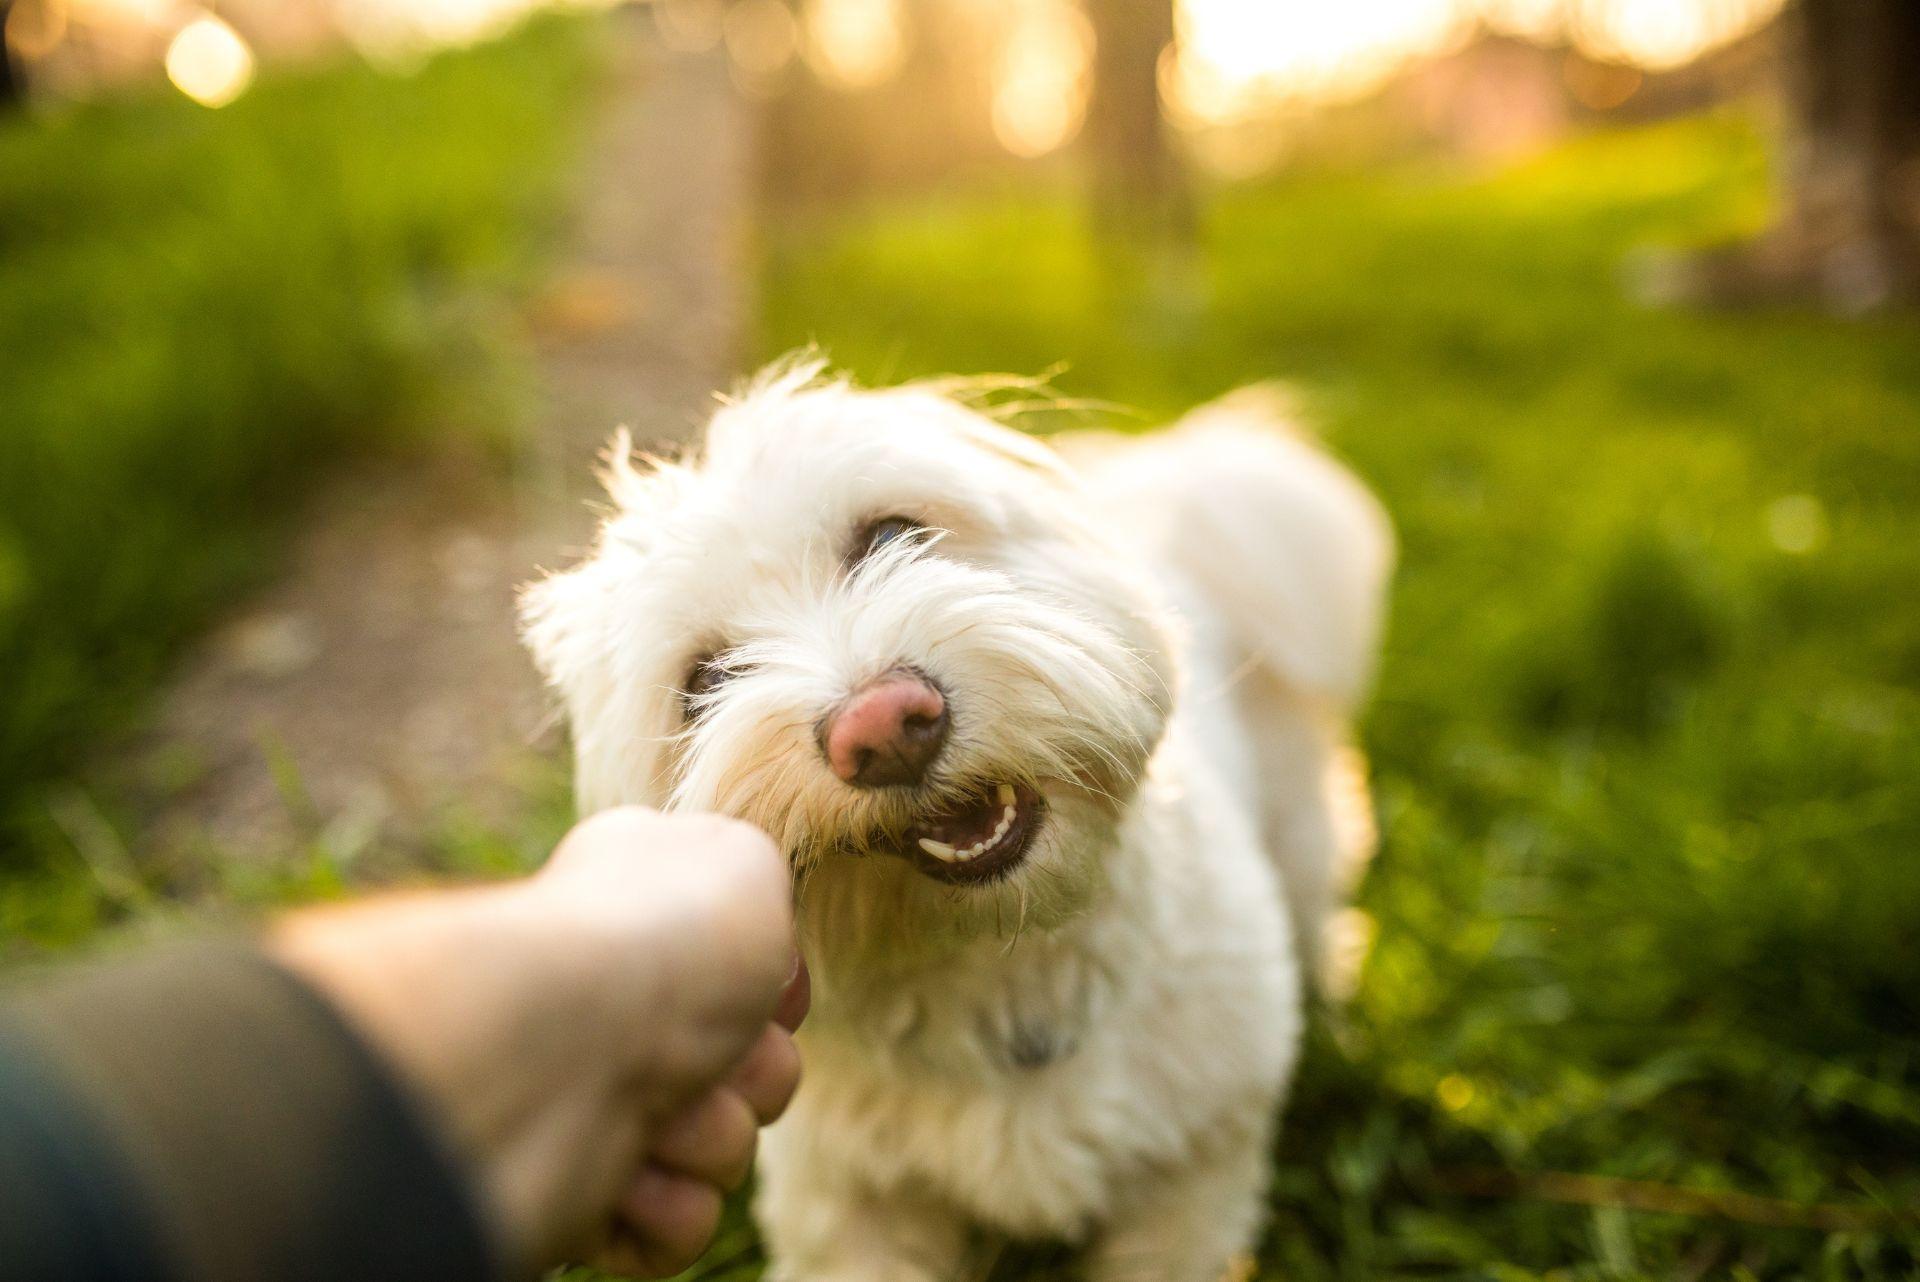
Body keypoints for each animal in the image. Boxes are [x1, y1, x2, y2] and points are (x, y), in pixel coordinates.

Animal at [526, 362, 1397, 1282]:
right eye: (706, 681)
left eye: (889, 537)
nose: (880, 729)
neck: (996, 964)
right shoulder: (851, 1211)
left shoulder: (1192, 1178)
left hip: (1297, 825)